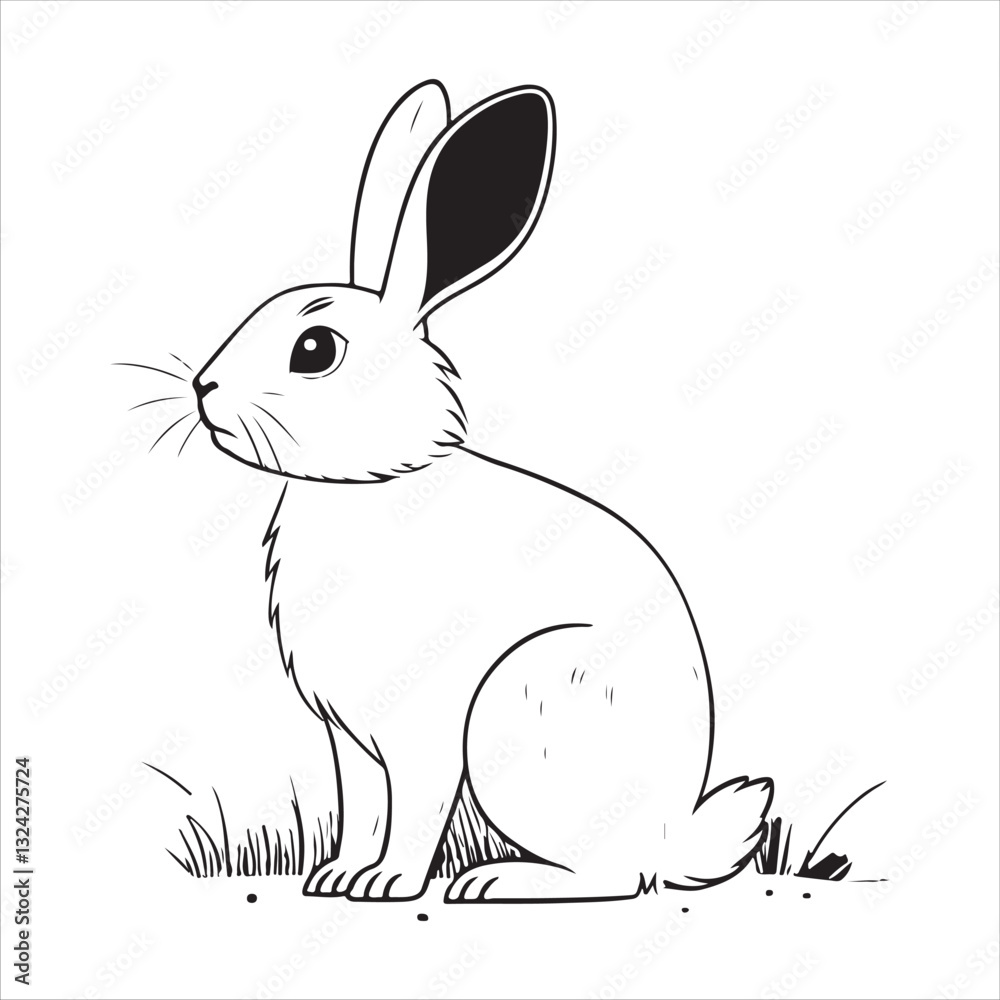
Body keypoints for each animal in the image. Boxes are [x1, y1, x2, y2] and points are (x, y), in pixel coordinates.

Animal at [191, 80, 773, 902]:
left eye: (314, 349)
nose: (202, 387)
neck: (374, 479)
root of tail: (672, 835)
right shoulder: (350, 739)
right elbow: (362, 808)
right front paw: (336, 878)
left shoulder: (425, 727)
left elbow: (416, 808)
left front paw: (387, 885)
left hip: (521, 712)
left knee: (616, 874)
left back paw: (495, 881)